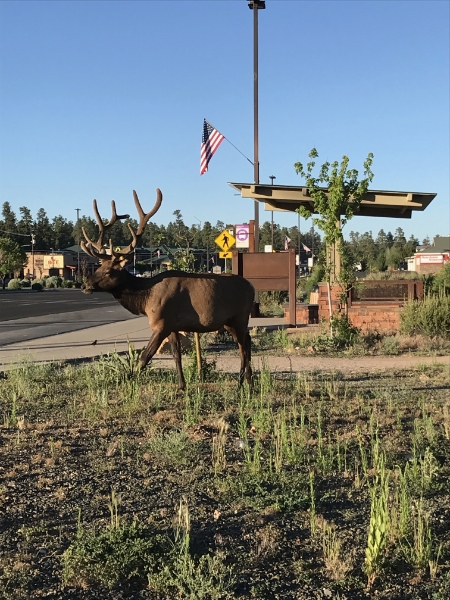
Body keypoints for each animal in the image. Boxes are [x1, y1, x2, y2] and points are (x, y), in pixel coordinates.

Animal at [81, 190, 255, 392]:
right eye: (98, 267)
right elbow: (176, 355)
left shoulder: (161, 323)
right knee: (246, 342)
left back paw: (244, 383)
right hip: (228, 322)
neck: (145, 299)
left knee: (244, 344)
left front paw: (130, 384)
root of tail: (252, 287)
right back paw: (246, 381)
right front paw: (181, 386)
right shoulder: (172, 325)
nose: (84, 285)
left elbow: (144, 358)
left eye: (109, 271)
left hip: (240, 316)